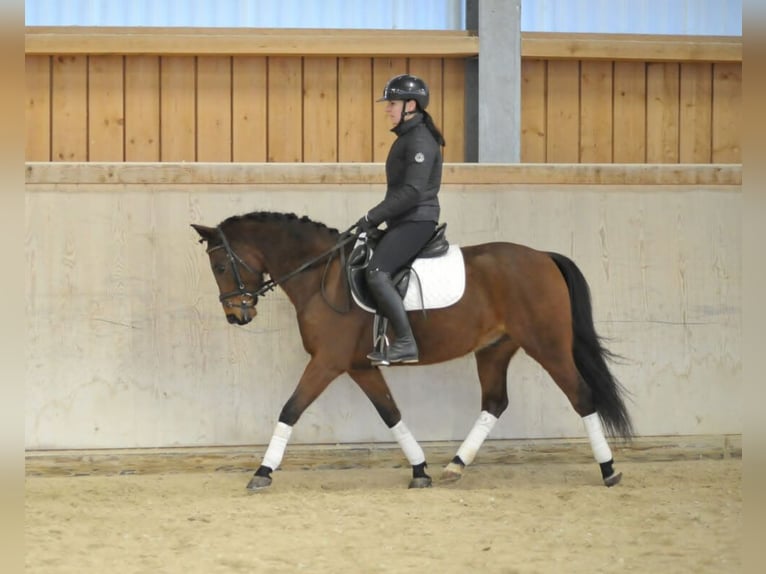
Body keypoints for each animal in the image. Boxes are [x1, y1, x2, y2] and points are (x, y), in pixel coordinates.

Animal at [194, 214, 636, 492]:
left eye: (220, 266)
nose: (237, 315)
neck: (322, 276)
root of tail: (543, 256)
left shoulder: (327, 362)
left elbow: (290, 410)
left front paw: (262, 472)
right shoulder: (359, 367)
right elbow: (391, 413)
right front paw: (420, 470)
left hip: (547, 345)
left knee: (581, 396)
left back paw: (609, 470)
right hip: (494, 349)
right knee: (495, 402)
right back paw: (455, 466)